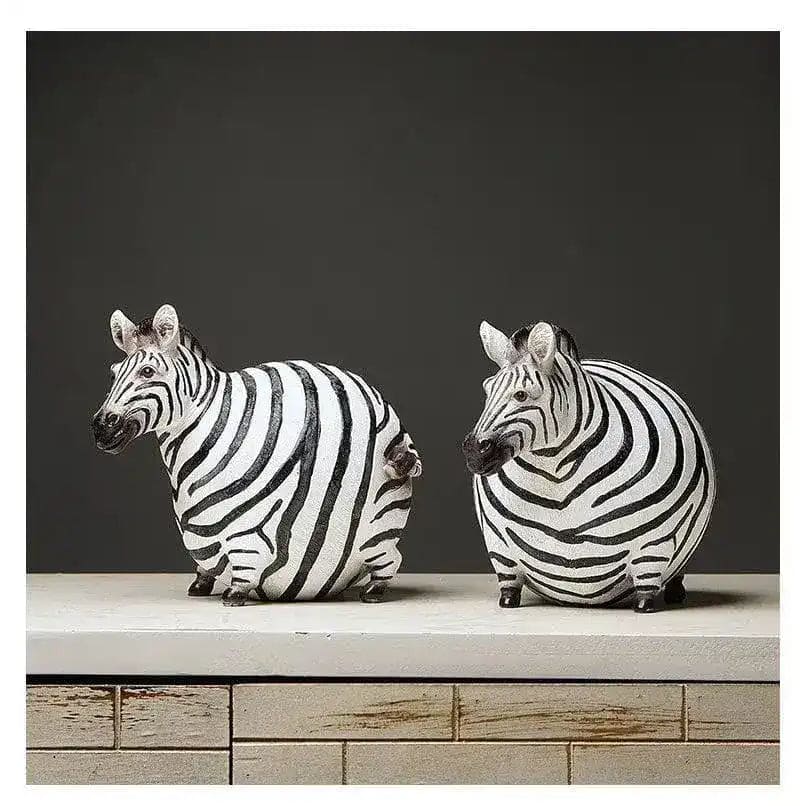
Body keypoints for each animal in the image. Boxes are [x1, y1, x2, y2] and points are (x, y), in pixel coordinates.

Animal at [92, 303, 422, 606]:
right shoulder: (203, 539)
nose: (100, 427)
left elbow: (244, 568)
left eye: (147, 372)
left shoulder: (249, 534)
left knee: (389, 558)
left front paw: (234, 594)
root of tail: (382, 405)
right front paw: (200, 584)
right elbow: (204, 565)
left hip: (377, 529)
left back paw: (374, 591)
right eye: (113, 374)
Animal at [462, 320, 715, 613]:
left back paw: (675, 593)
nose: (472, 450)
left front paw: (645, 605)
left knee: (675, 574)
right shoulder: (500, 549)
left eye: (521, 395)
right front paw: (508, 600)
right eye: (486, 390)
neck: (555, 473)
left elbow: (647, 580)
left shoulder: (653, 546)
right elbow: (508, 579)